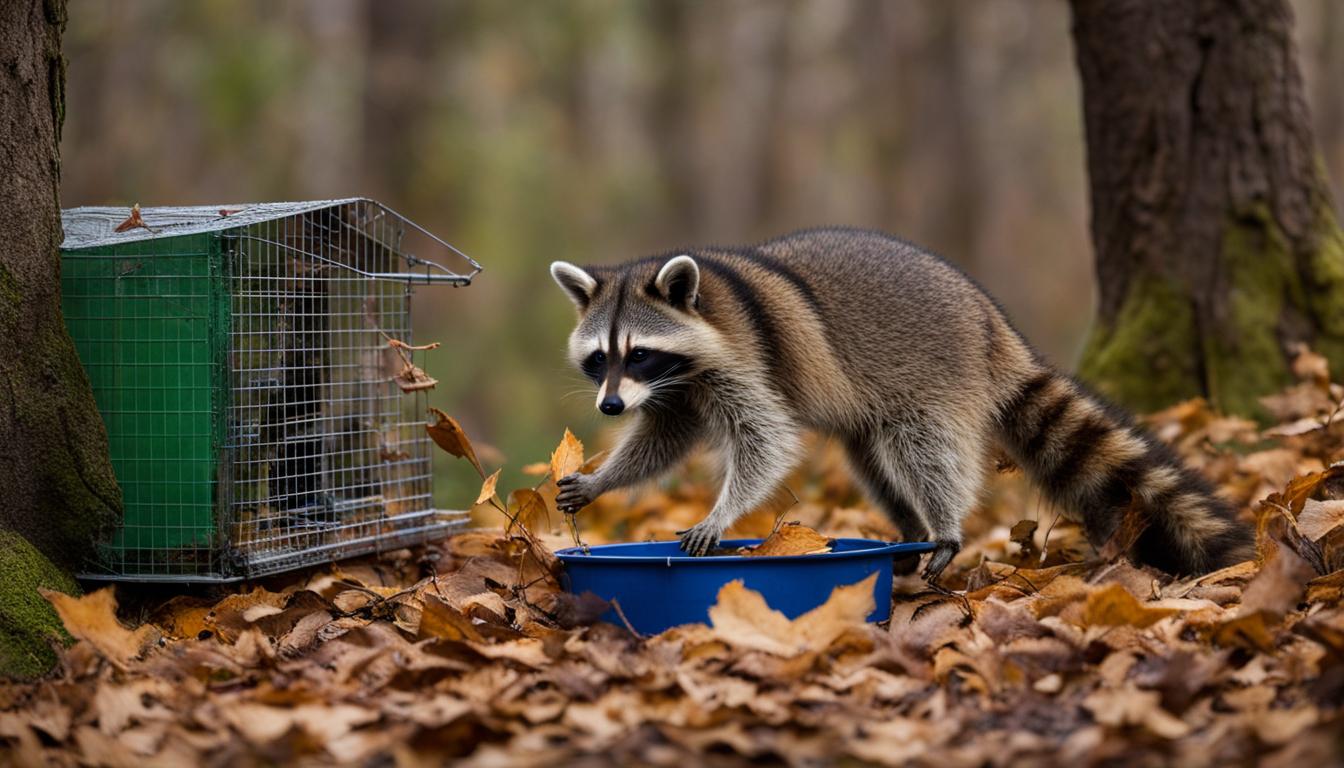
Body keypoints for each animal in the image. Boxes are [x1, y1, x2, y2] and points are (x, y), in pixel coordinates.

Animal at [545, 228, 1247, 583]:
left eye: (638, 353)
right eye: (601, 359)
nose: (609, 408)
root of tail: (989, 317)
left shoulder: (743, 357)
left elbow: (766, 439)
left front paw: (724, 510)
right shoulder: (678, 388)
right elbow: (663, 438)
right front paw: (605, 477)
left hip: (937, 369)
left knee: (925, 451)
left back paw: (942, 523)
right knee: (875, 463)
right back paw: (909, 530)